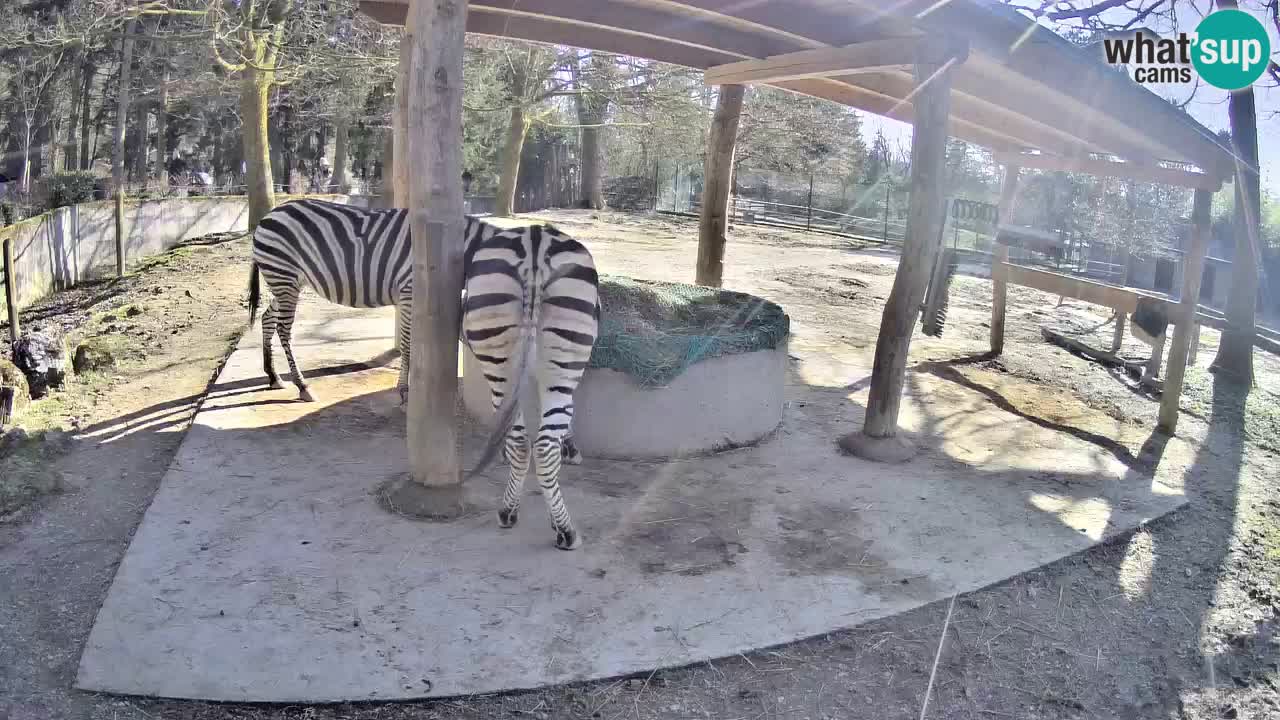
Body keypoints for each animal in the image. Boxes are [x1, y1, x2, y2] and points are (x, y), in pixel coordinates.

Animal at [462, 223, 600, 550]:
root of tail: (534, 244)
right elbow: (562, 420)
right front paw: (570, 449)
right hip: (562, 366)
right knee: (544, 447)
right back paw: (566, 531)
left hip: (499, 363)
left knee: (521, 442)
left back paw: (508, 511)